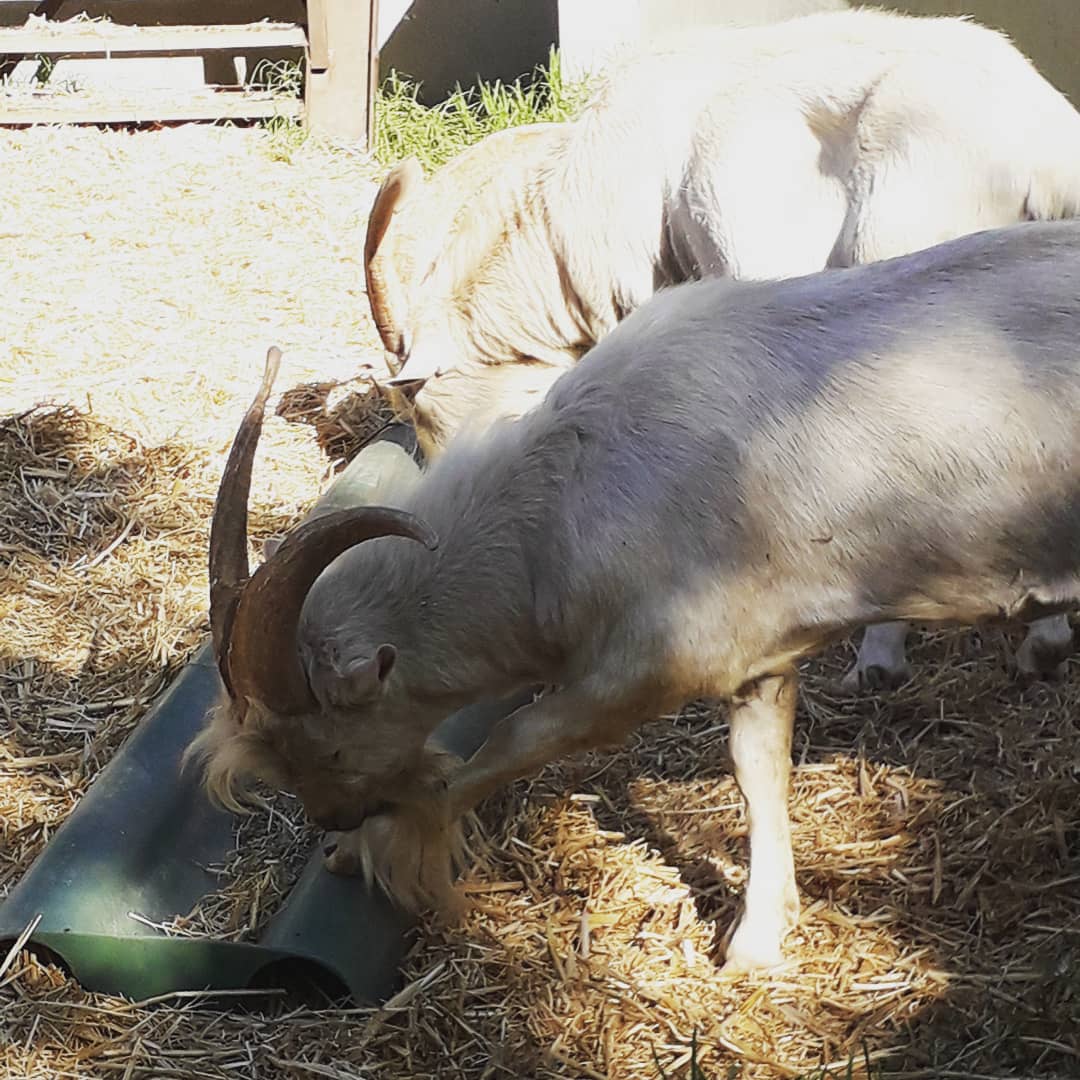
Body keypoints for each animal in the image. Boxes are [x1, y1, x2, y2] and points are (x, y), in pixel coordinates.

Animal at [195, 220, 1080, 971]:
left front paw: (381, 845)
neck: (559, 507)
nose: (332, 818)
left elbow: (511, 740)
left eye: (330, 748)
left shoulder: (651, 664)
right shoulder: (758, 648)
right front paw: (763, 936)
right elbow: (758, 770)